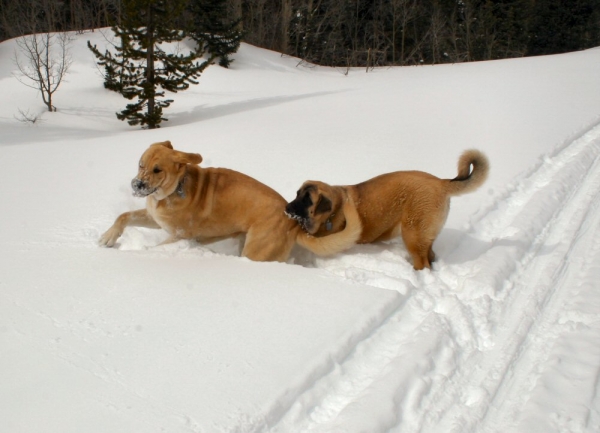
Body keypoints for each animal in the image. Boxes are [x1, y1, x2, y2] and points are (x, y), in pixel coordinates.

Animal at [99, 141, 360, 260]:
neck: (173, 190)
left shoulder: (180, 236)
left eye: (157, 170)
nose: (137, 185)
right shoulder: (154, 218)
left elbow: (156, 247)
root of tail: (292, 220)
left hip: (255, 251)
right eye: (141, 165)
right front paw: (108, 237)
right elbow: (124, 215)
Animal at [284, 150, 488, 268]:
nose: (287, 207)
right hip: (423, 235)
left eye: (307, 200)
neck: (336, 208)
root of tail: (441, 183)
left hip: (412, 234)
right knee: (430, 255)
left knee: (423, 263)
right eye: (297, 194)